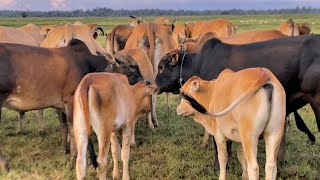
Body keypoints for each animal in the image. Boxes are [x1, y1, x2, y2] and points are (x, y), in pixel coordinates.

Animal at [0, 39, 144, 172]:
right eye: (133, 66)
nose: (145, 81)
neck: (89, 64)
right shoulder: (70, 101)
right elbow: (74, 129)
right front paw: (75, 157)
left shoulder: (61, 106)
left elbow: (65, 127)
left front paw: (67, 151)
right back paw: (5, 165)